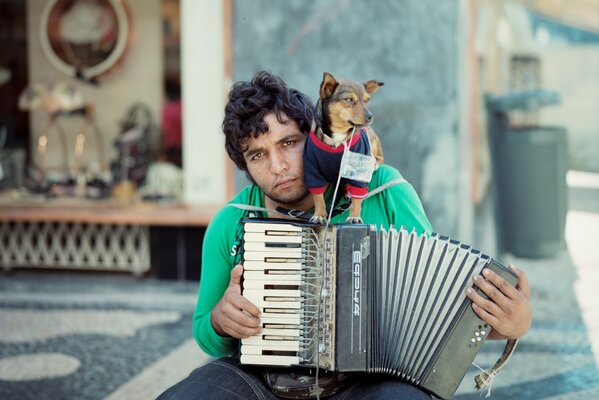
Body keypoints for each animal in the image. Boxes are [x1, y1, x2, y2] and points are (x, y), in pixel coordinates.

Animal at [304, 72, 384, 225]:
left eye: (368, 100)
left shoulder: (359, 173)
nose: (370, 116)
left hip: (372, 141)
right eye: (348, 99)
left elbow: (357, 199)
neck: (338, 138)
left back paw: (374, 163)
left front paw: (354, 217)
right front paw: (319, 214)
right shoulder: (312, 170)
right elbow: (318, 197)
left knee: (379, 157)